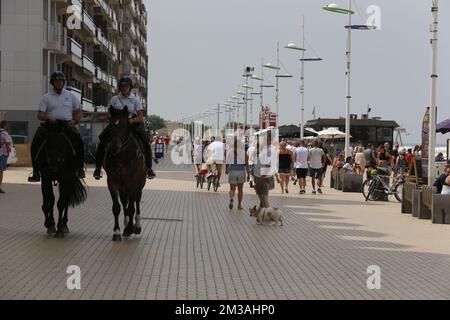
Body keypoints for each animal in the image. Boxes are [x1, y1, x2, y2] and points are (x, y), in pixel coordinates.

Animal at [103, 106, 146, 241]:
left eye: (123, 125)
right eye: (111, 124)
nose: (113, 147)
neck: (123, 157)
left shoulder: (133, 182)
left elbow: (132, 207)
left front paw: (131, 228)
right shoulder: (112, 182)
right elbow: (117, 207)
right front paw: (117, 232)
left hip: (139, 184)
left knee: (137, 201)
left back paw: (136, 226)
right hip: (123, 186)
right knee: (124, 202)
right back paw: (126, 225)